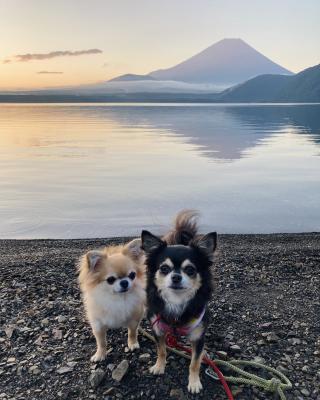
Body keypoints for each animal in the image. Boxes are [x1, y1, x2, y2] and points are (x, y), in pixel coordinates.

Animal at [141, 211, 218, 392]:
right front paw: (159, 366)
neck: (177, 301)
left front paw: (194, 382)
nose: (176, 277)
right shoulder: (158, 329)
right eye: (164, 269)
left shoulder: (198, 337)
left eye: (190, 270)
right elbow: (161, 350)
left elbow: (195, 362)